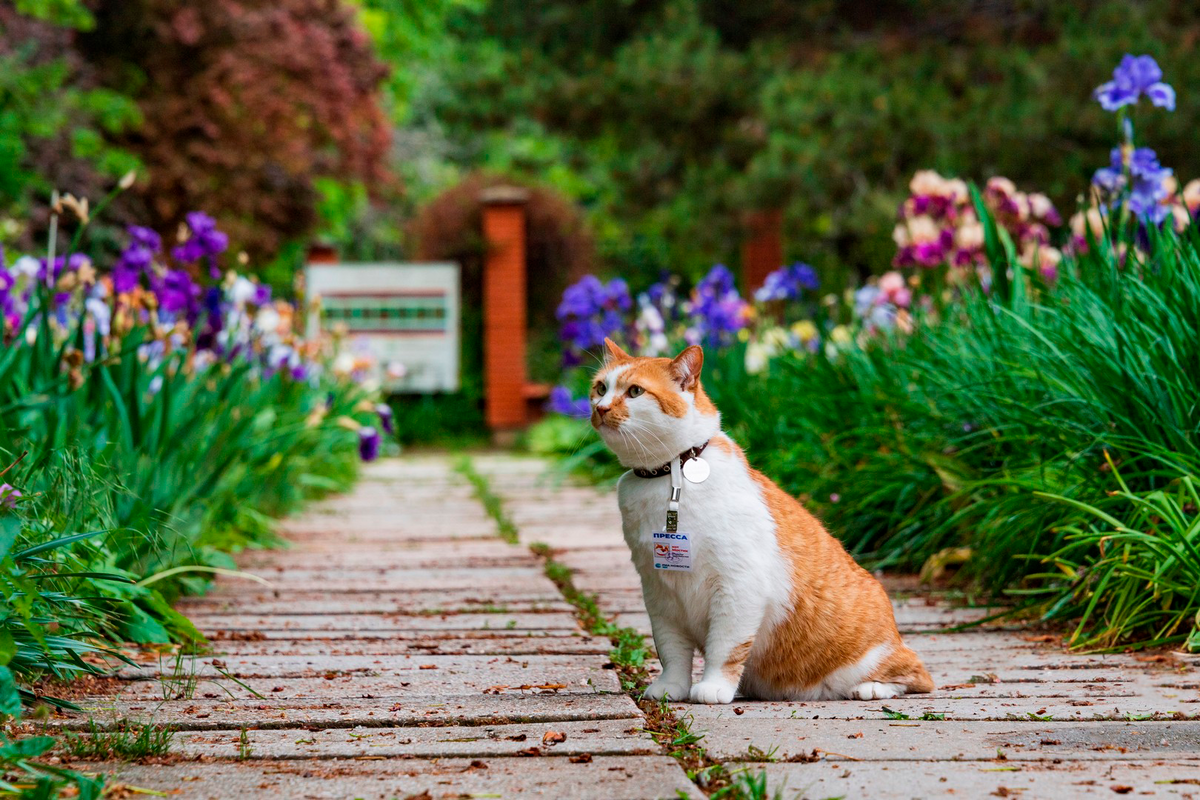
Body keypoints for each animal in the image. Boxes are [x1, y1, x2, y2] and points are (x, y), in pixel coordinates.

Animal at [592, 340, 936, 705]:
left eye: (635, 391)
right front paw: (670, 687)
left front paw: (713, 686)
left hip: (874, 659)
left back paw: (871, 688)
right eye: (600, 388)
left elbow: (724, 647)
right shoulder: (659, 593)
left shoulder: (739, 586)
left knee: (918, 675)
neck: (669, 476)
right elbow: (671, 650)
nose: (600, 408)